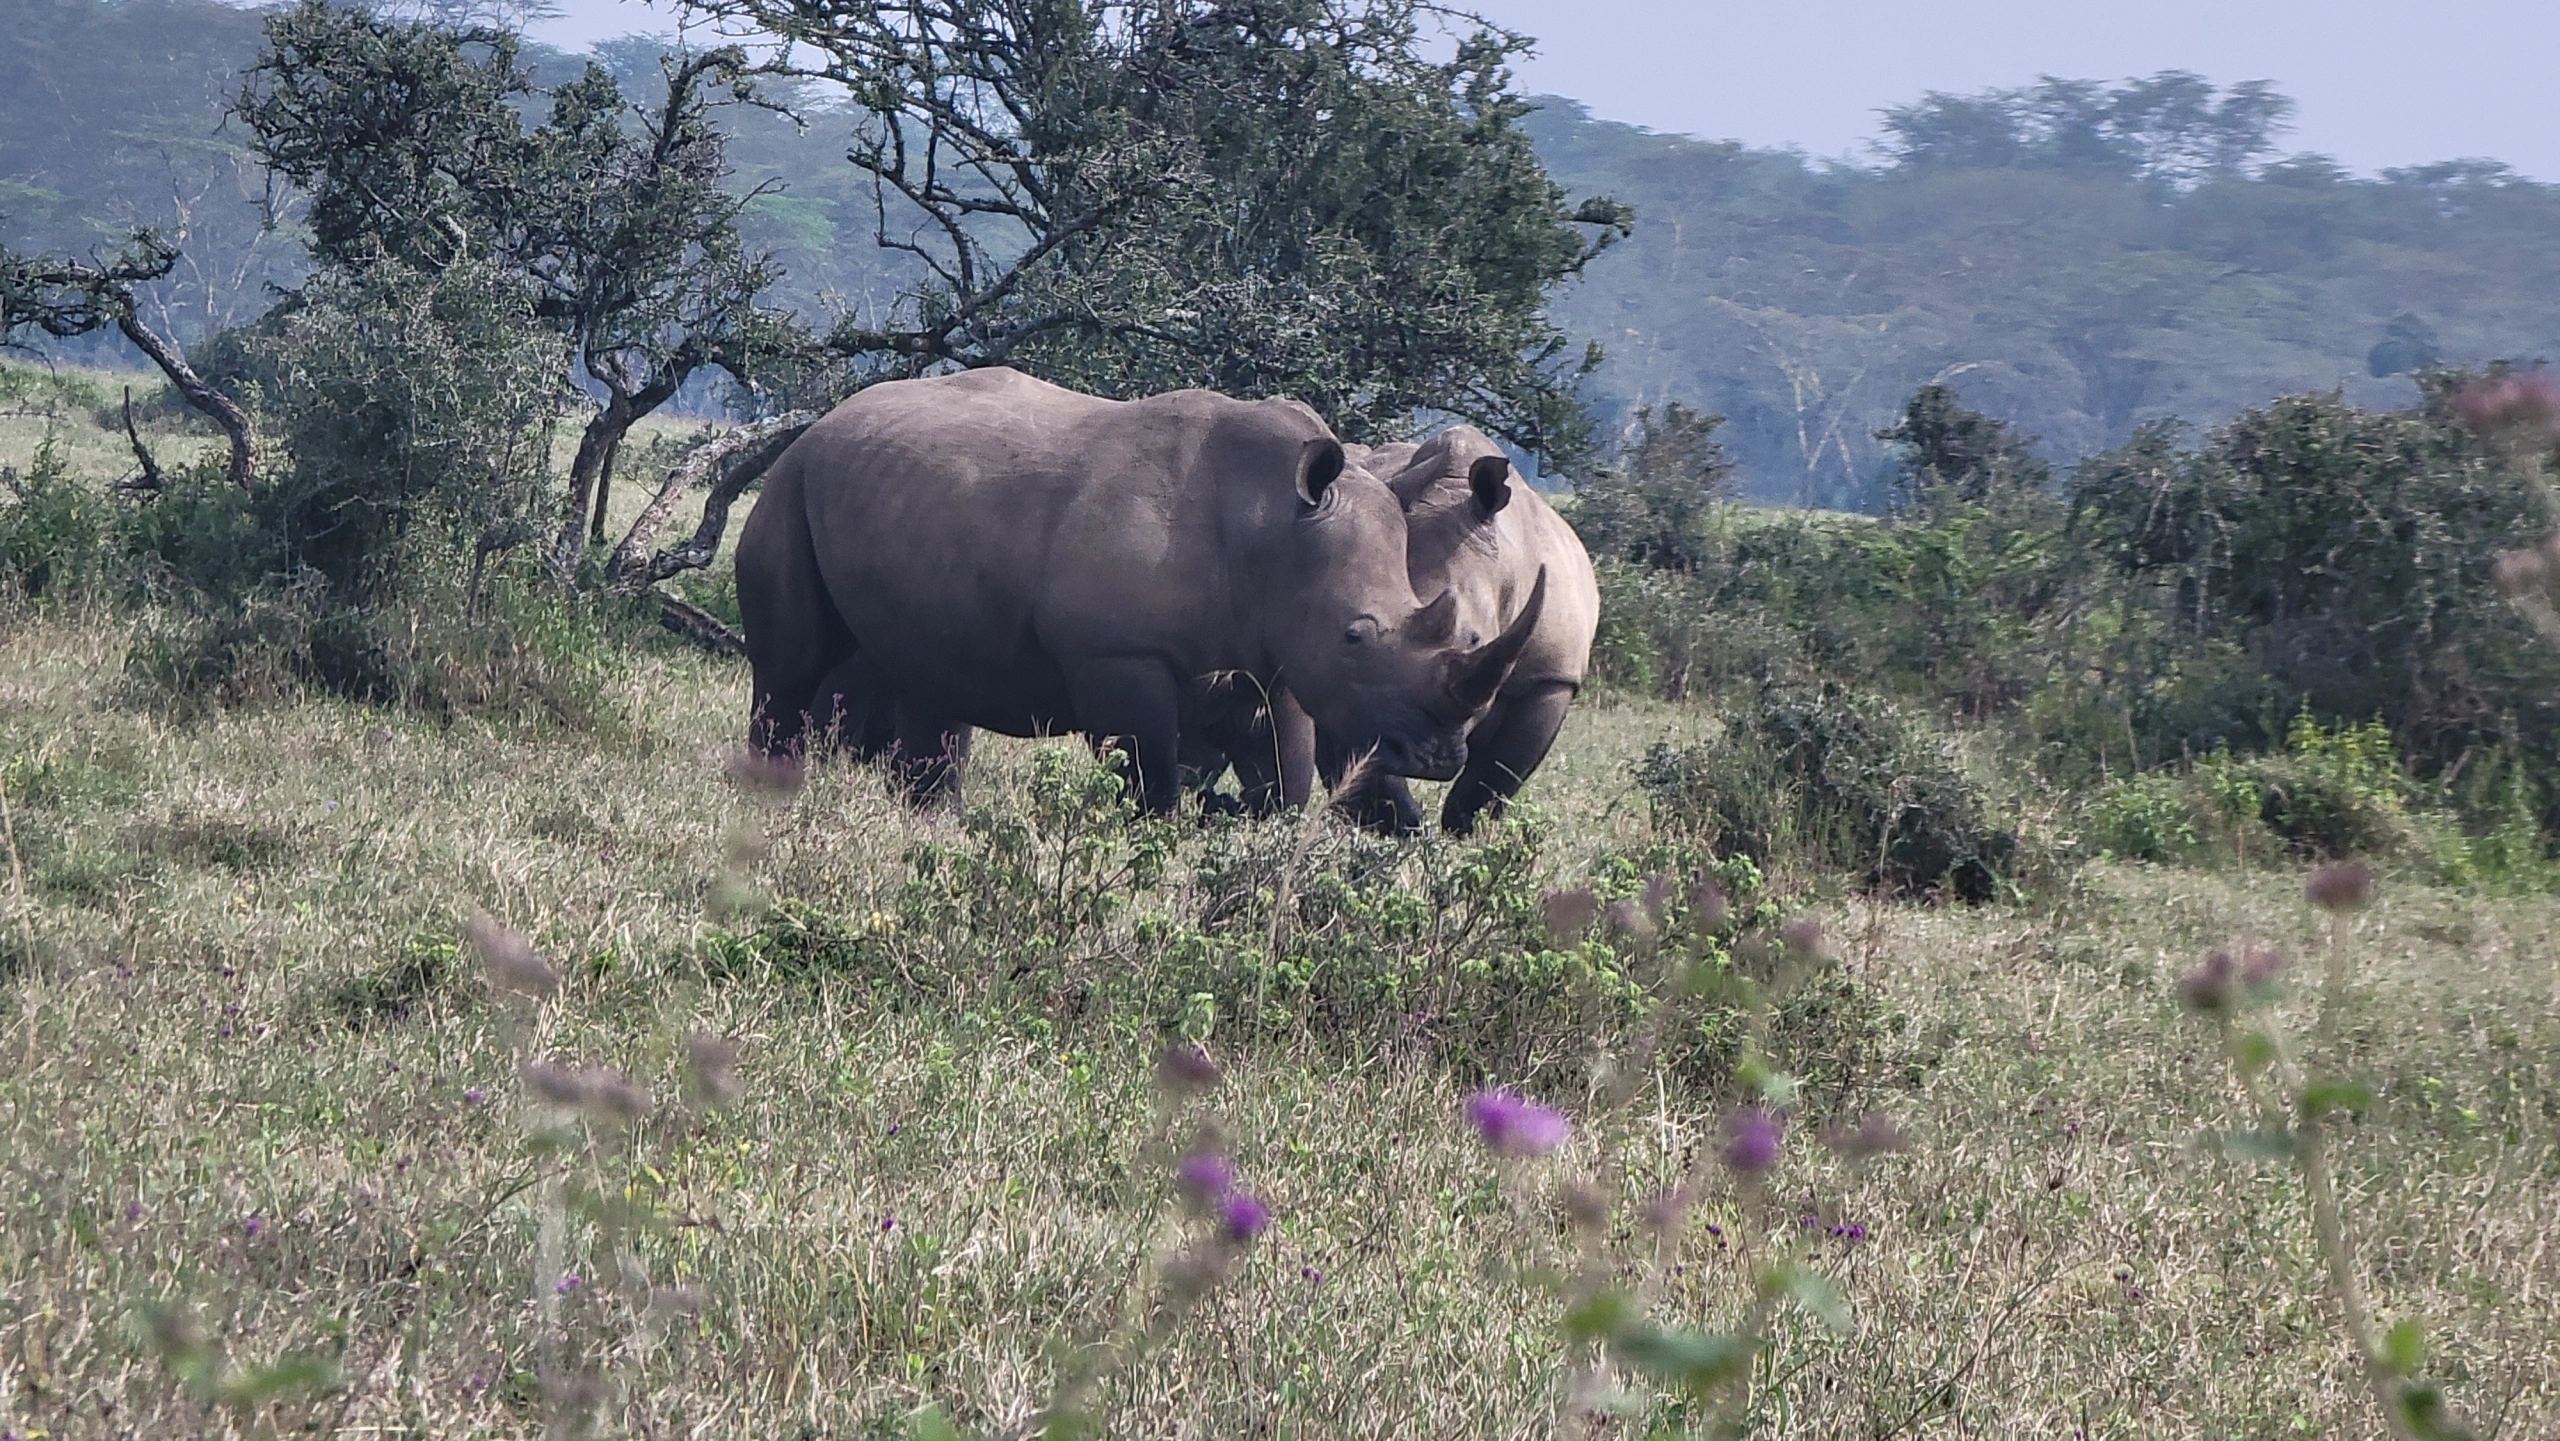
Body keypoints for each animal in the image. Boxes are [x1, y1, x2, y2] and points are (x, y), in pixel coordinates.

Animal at [734, 368, 1546, 815]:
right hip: (791, 482)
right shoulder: (1118, 654)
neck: (1274, 527)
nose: (1439, 757)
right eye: (1356, 635)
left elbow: (1287, 777)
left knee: (928, 678)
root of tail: (830, 417)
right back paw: (772, 795)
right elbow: (1150, 776)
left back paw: (934, 819)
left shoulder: (1277, 657)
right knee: (793, 670)